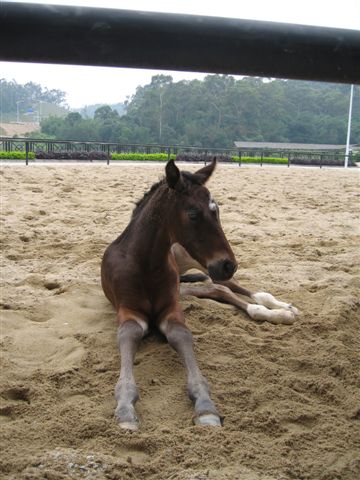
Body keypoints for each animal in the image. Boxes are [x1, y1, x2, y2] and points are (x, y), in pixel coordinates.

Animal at [101, 159, 236, 430]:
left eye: (216, 210)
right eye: (193, 214)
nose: (228, 266)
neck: (146, 265)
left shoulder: (171, 308)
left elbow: (180, 334)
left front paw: (206, 405)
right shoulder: (128, 310)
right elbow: (128, 333)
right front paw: (125, 408)